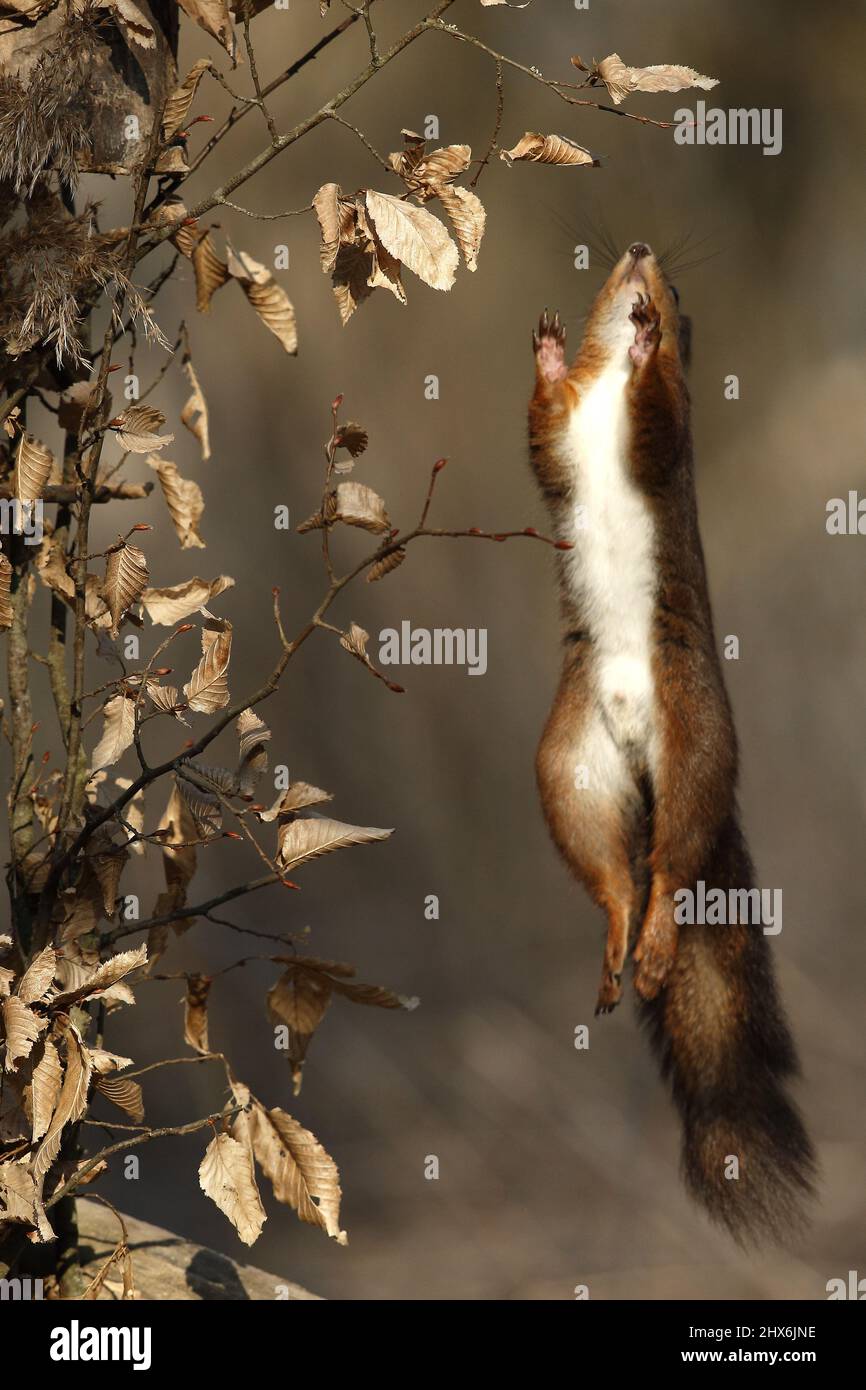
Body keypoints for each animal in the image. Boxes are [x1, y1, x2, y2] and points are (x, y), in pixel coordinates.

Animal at [528, 242, 816, 1244]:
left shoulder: (667, 434)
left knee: (676, 868)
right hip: (571, 769)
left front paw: (652, 344)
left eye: (679, 288)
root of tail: (635, 739)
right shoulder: (565, 437)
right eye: (610, 270)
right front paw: (546, 352)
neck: (608, 377)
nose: (642, 257)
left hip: (695, 748)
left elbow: (656, 417)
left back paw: (654, 948)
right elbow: (543, 430)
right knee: (617, 875)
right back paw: (620, 948)